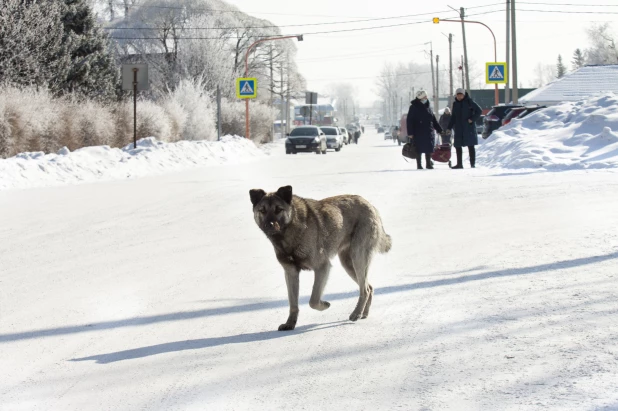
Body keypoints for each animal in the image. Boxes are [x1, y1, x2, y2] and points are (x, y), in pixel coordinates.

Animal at [247, 187, 388, 332]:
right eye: (262, 210)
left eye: (278, 209)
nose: (269, 225)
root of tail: (370, 205)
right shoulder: (291, 273)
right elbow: (293, 303)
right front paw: (290, 323)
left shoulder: (322, 267)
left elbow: (313, 300)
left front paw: (324, 305)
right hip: (348, 264)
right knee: (368, 287)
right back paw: (364, 313)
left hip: (357, 258)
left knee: (364, 289)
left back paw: (356, 313)